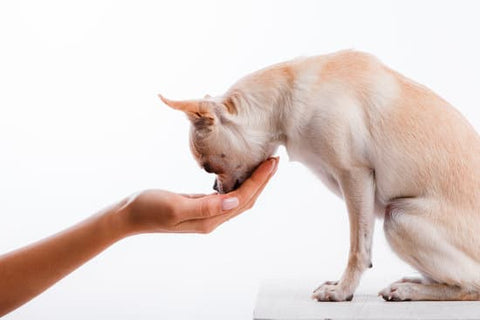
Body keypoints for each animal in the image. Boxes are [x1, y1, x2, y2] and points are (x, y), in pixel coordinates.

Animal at [159, 50, 480, 302]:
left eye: (208, 168)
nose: (216, 188)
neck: (285, 99)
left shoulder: (355, 176)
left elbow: (358, 247)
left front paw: (342, 291)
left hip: (398, 218)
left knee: (470, 285)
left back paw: (412, 291)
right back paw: (413, 282)